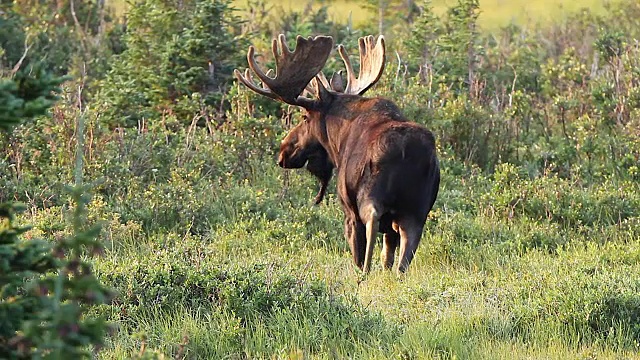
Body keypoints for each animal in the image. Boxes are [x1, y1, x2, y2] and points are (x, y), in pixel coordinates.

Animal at [235, 35, 440, 274]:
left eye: (304, 117)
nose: (284, 151)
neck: (337, 140)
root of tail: (406, 152)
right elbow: (388, 253)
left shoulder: (348, 208)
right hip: (417, 208)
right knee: (407, 247)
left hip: (370, 197)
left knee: (372, 222)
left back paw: (366, 271)